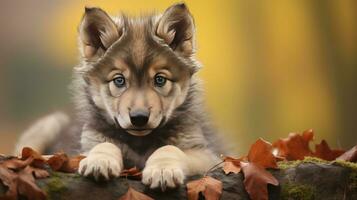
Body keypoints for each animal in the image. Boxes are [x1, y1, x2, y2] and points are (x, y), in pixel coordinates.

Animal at [16, 3, 224, 190]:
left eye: (159, 79)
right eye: (119, 80)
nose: (139, 118)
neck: (140, 143)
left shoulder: (208, 156)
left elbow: (171, 148)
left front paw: (163, 170)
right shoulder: (82, 148)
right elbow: (105, 145)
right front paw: (100, 160)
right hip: (49, 124)